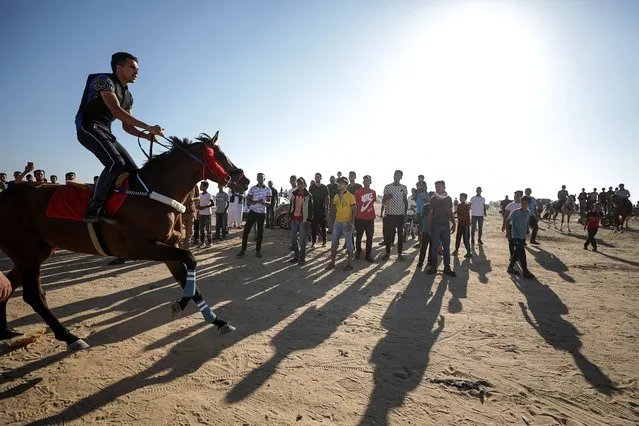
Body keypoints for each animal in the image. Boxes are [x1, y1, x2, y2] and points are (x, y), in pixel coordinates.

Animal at [0, 132, 250, 350]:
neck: (154, 194)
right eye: (219, 155)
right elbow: (190, 259)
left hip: (37, 251)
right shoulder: (141, 248)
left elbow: (188, 276)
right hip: (26, 251)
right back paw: (69, 337)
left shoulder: (168, 248)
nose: (245, 181)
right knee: (33, 295)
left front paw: (217, 321)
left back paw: (6, 331)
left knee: (9, 285)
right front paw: (180, 305)